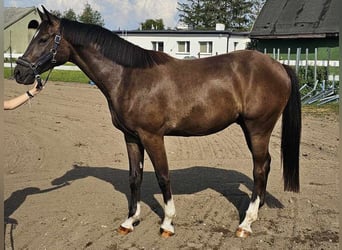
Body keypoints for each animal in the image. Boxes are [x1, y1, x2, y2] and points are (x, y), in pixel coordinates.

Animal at [14, 6, 302, 238]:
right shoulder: (131, 137)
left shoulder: (152, 136)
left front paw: (167, 224)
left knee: (259, 169)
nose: (19, 72)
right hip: (250, 128)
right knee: (265, 165)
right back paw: (257, 209)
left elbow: (163, 177)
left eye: (43, 39)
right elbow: (135, 177)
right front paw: (130, 221)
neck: (129, 77)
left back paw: (246, 224)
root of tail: (279, 66)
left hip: (258, 128)